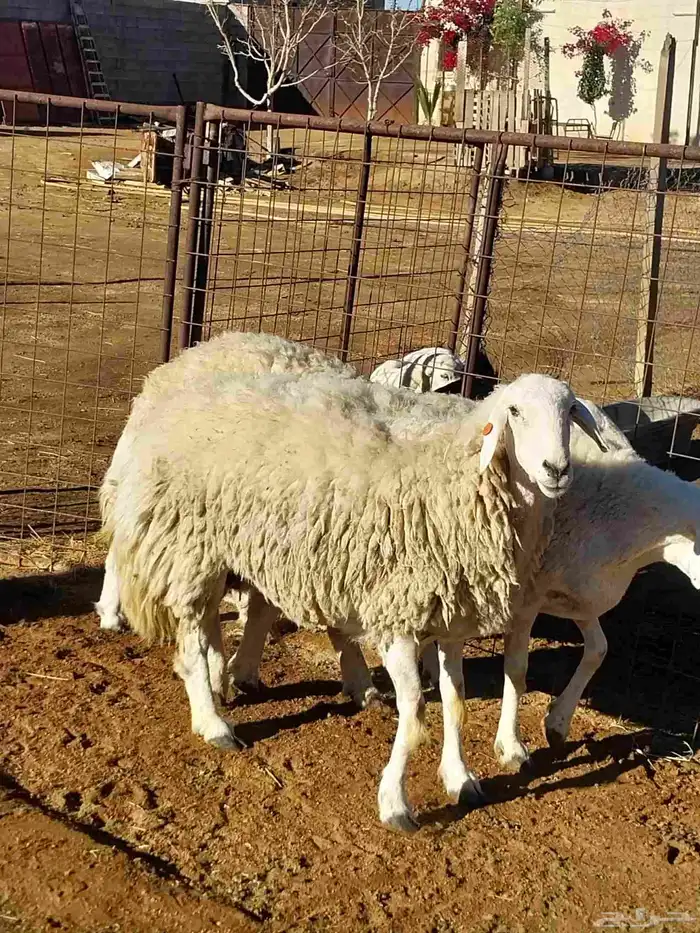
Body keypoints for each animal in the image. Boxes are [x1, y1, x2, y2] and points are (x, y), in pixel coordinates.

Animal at [103, 366, 605, 830]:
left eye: (570, 412)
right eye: (514, 412)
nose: (557, 470)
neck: (459, 473)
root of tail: (170, 384)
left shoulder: (450, 619)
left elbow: (455, 701)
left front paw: (459, 777)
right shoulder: (398, 616)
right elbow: (415, 713)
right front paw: (395, 802)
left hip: (219, 551)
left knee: (213, 624)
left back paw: (220, 683)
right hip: (189, 545)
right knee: (191, 635)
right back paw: (212, 721)